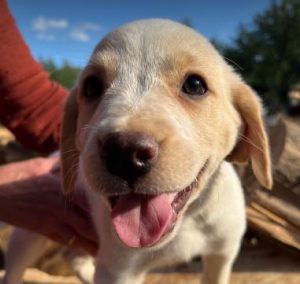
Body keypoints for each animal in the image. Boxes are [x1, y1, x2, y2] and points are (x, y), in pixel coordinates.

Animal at [1, 19, 272, 284]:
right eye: (91, 87)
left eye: (195, 85)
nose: (124, 154)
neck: (186, 224)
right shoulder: (120, 271)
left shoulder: (222, 253)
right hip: (29, 234)